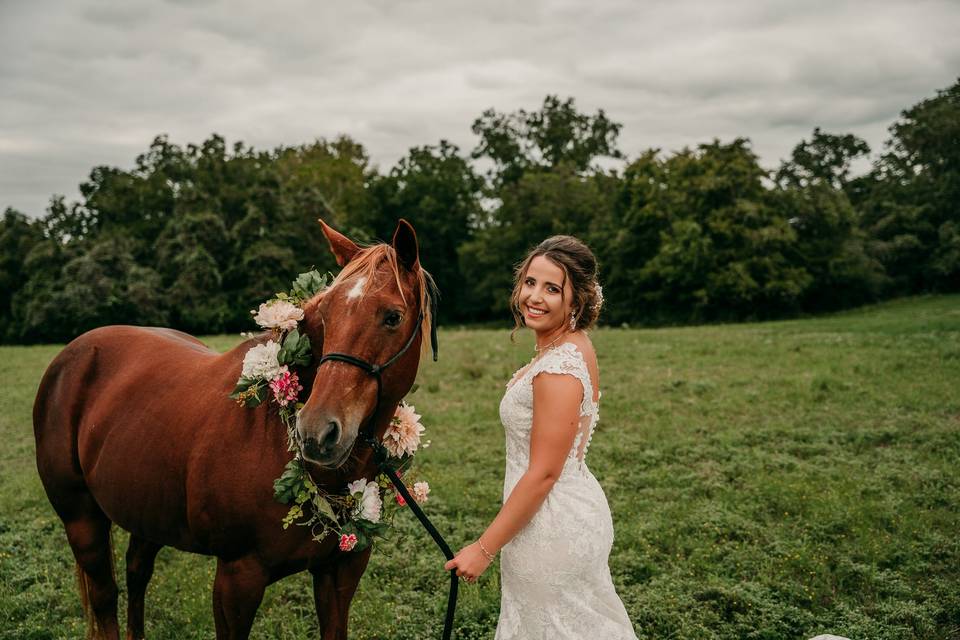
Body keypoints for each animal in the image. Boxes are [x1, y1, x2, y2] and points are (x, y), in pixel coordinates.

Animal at [31, 220, 436, 640]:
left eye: (392, 317)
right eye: (326, 312)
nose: (315, 432)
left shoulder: (341, 572)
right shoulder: (237, 579)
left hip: (146, 508)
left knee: (136, 573)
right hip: (82, 520)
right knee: (105, 596)